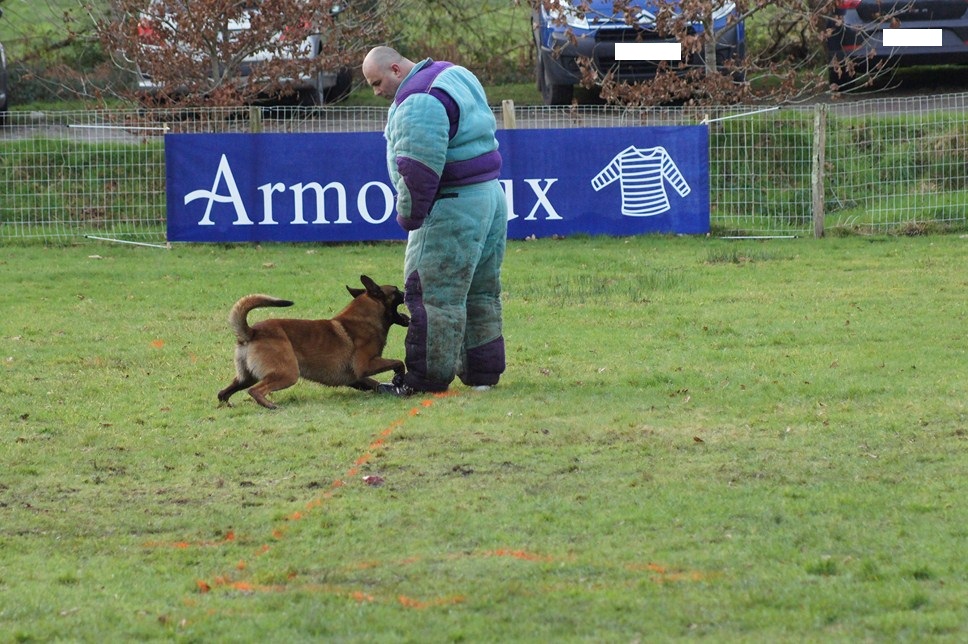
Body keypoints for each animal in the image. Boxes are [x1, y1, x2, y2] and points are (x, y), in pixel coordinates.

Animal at [217, 276, 410, 408]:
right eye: (396, 290)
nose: (407, 291)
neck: (365, 318)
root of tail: (252, 331)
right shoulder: (365, 365)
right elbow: (398, 362)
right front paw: (399, 378)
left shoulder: (355, 377)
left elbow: (375, 384)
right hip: (287, 374)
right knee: (255, 390)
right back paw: (269, 405)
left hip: (246, 377)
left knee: (222, 393)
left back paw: (227, 406)